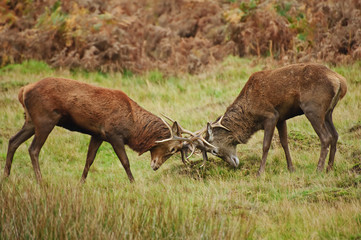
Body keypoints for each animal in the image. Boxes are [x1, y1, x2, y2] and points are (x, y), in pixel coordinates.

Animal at [3, 78, 191, 183]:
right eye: (173, 149)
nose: (156, 166)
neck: (133, 128)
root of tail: (23, 90)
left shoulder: (97, 135)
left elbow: (89, 160)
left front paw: (81, 183)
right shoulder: (114, 135)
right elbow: (125, 162)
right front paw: (133, 183)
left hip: (30, 121)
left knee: (13, 140)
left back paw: (6, 176)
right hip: (45, 120)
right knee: (33, 149)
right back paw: (41, 181)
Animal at [191, 63, 346, 174]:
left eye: (214, 151)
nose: (233, 164)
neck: (250, 113)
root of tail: (340, 81)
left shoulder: (271, 116)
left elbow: (265, 145)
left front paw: (260, 172)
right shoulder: (281, 118)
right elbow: (284, 142)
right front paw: (291, 168)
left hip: (313, 109)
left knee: (326, 137)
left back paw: (319, 169)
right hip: (328, 112)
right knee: (335, 135)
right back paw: (329, 168)